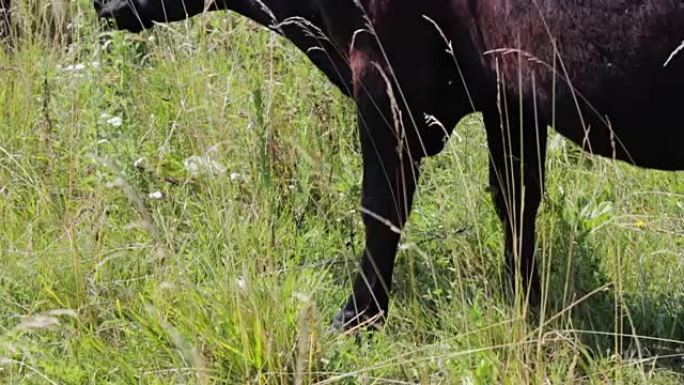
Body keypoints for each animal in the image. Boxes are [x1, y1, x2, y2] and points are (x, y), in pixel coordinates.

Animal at [95, 0, 684, 328]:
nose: (101, 4)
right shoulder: (510, 93)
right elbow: (517, 200)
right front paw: (527, 306)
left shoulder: (383, 74)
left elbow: (381, 207)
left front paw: (359, 316)